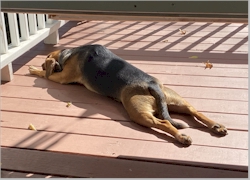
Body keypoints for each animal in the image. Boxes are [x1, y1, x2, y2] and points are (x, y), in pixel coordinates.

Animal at [28, 44, 228, 146]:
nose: (41, 64)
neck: (68, 53)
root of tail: (150, 84)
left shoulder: (62, 77)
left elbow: (46, 75)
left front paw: (34, 69)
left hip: (139, 113)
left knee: (164, 123)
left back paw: (181, 137)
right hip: (174, 100)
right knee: (195, 111)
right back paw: (217, 126)